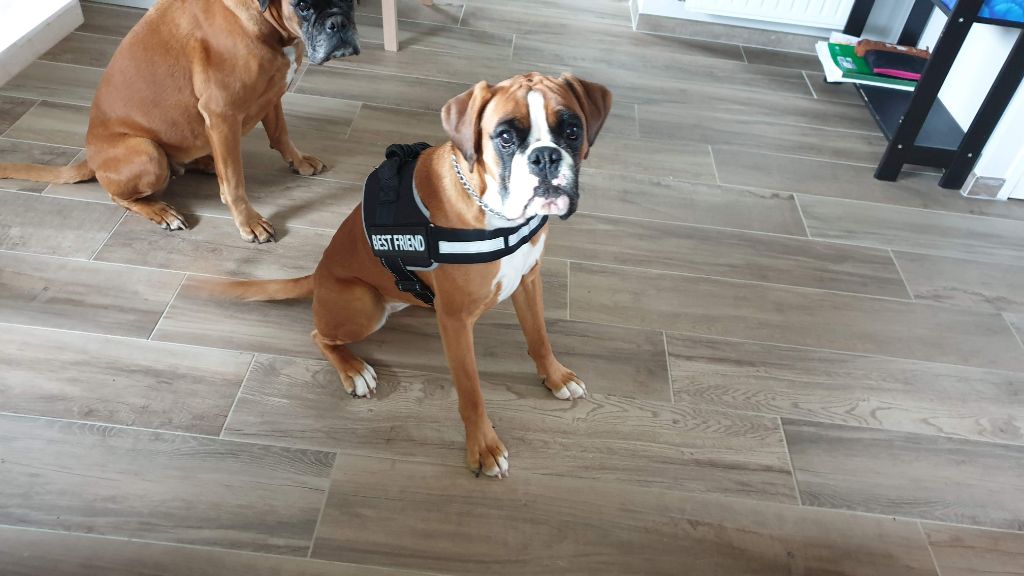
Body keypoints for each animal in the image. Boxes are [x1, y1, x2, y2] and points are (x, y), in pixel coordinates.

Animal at [0, 0, 359, 243]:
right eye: (303, 5)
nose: (338, 23)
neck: (267, 24)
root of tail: (92, 159)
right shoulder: (221, 114)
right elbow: (235, 184)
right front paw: (248, 221)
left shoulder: (272, 93)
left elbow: (280, 133)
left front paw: (298, 161)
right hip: (148, 153)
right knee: (119, 196)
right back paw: (161, 210)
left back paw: (205, 164)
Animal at [203, 73, 612, 478]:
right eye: (506, 138)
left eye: (572, 131)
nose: (546, 157)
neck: (493, 211)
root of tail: (317, 274)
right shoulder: (457, 322)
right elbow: (471, 391)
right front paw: (483, 446)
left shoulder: (528, 279)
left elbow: (538, 336)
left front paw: (555, 376)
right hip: (363, 305)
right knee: (319, 335)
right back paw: (353, 369)